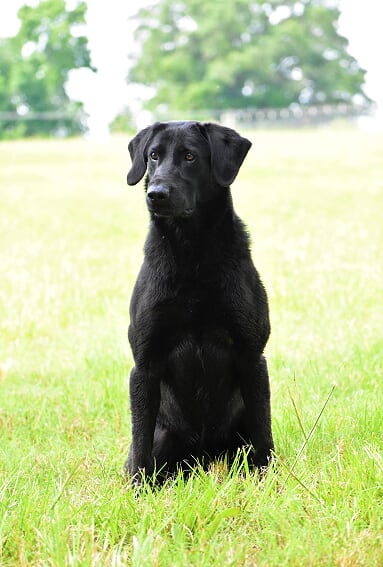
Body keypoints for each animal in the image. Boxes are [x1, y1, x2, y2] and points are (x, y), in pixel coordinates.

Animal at [125, 121, 272, 484]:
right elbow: (140, 439)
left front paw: (268, 478)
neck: (191, 254)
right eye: (153, 155)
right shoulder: (144, 364)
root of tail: (204, 457)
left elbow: (263, 431)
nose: (156, 194)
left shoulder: (252, 355)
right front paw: (139, 489)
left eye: (190, 156)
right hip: (167, 435)